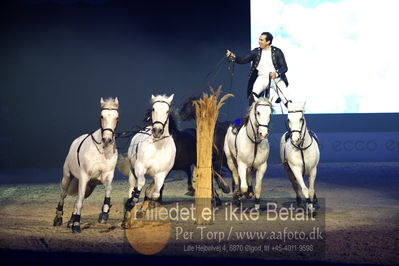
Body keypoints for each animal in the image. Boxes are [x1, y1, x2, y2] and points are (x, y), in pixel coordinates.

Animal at [53, 97, 119, 233]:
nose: (107, 140)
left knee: (78, 198)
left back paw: (71, 220)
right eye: (101, 116)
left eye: (117, 118)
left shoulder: (107, 176)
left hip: (89, 187)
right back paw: (58, 219)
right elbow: (80, 201)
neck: (102, 151)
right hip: (67, 177)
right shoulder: (84, 177)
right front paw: (76, 225)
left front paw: (104, 215)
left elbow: (108, 190)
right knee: (64, 195)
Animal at [122, 94, 176, 225]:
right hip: (132, 172)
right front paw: (132, 202)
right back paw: (127, 217)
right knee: (132, 188)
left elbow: (155, 194)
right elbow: (139, 185)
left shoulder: (162, 174)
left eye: (167, 111)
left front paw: (142, 210)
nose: (157, 131)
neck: (158, 146)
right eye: (153, 109)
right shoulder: (140, 168)